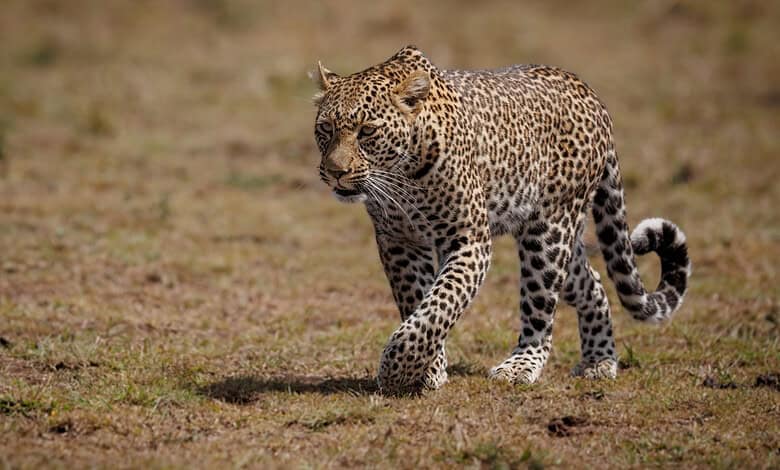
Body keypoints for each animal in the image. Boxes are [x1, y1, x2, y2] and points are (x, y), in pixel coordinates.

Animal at [311, 46, 691, 394]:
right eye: (325, 128)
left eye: (367, 131)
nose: (335, 171)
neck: (403, 174)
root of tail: (588, 90)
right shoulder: (399, 241)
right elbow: (417, 302)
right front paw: (428, 370)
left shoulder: (469, 240)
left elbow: (440, 304)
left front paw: (397, 369)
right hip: (561, 241)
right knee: (593, 283)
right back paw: (600, 360)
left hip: (548, 233)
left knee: (540, 312)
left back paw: (520, 366)